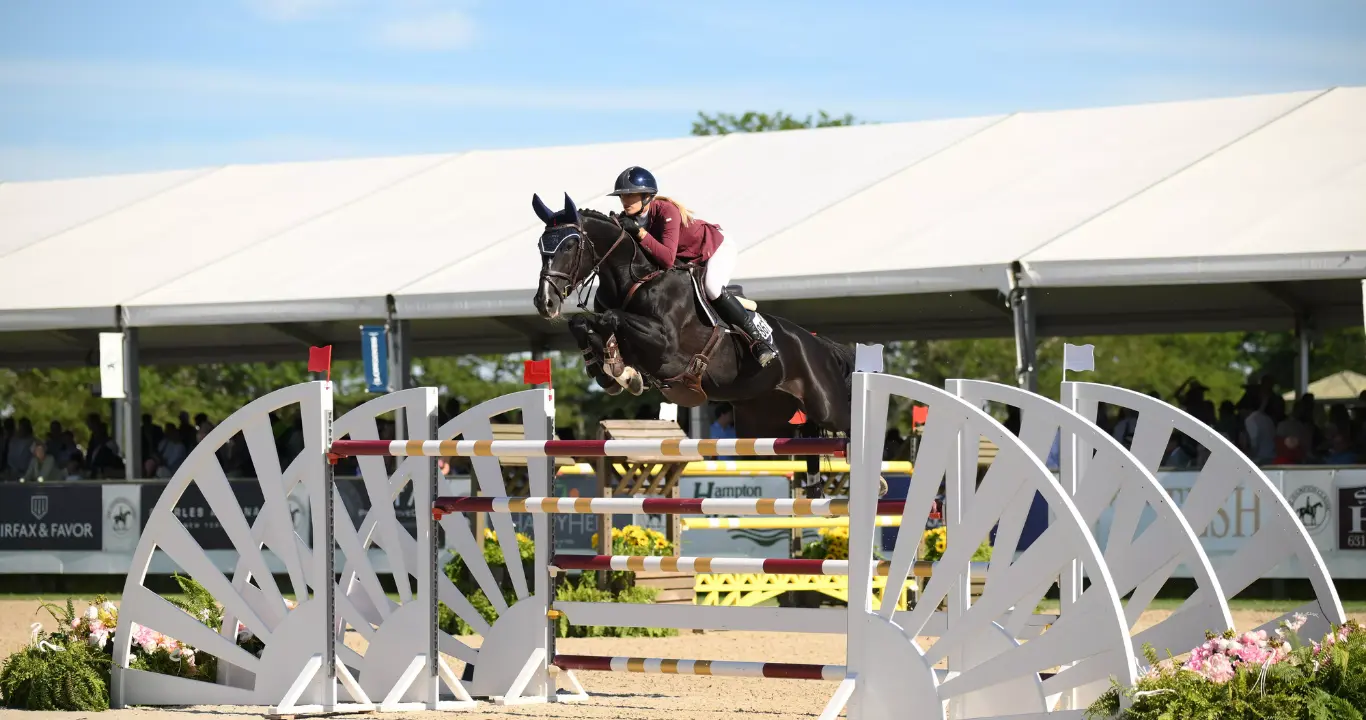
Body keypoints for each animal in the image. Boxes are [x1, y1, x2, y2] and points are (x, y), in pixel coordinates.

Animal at [530, 192, 855, 445]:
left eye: (569, 246)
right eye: (540, 246)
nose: (545, 303)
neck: (633, 278)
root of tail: (819, 344)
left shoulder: (666, 347)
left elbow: (612, 318)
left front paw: (621, 371)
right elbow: (583, 323)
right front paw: (614, 371)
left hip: (827, 406)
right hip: (762, 416)